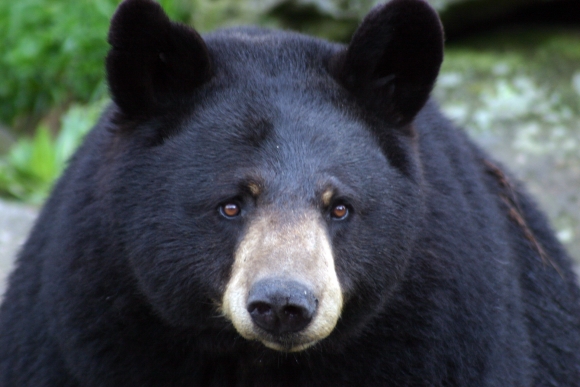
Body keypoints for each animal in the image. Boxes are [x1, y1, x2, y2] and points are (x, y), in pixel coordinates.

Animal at [1, 0, 580, 386]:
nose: (283, 305)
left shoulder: (448, 332)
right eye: (231, 204)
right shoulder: (83, 319)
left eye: (340, 207)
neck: (263, 361)